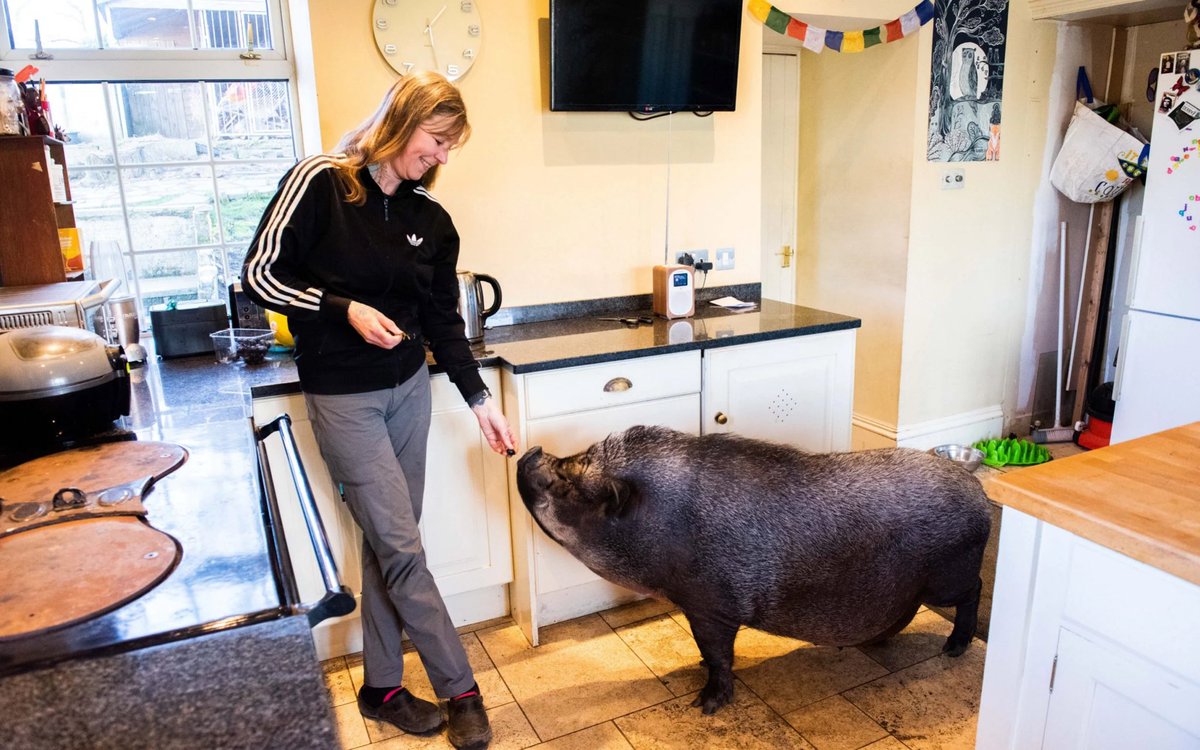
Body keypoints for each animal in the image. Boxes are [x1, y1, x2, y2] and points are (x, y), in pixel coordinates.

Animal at [516, 425, 992, 714]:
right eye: (572, 460)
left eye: (570, 482)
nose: (531, 450)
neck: (663, 523)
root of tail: (979, 493)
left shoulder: (710, 605)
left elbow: (717, 654)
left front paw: (705, 705)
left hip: (949, 578)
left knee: (977, 589)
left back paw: (954, 649)